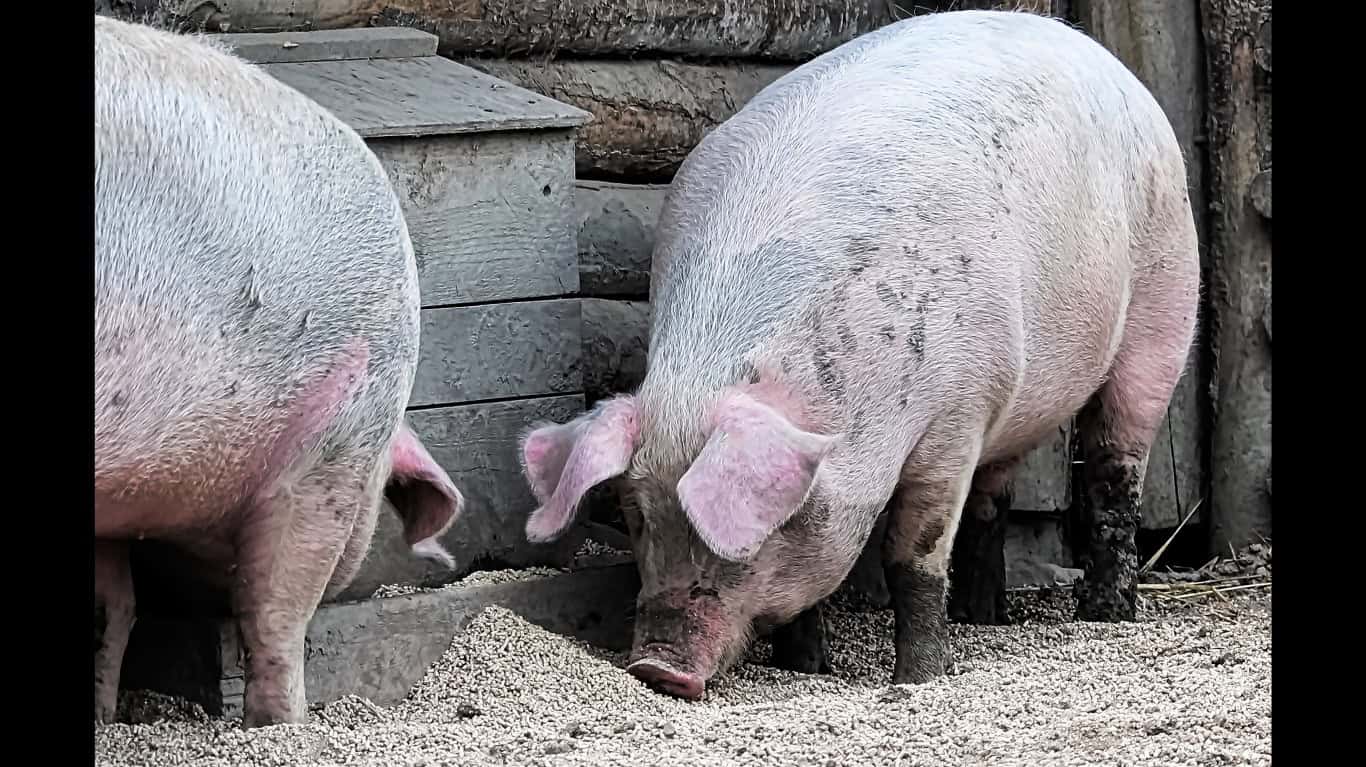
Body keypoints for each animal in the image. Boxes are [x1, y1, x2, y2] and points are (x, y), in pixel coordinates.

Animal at [518, 10, 1200, 699]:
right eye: (635, 514)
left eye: (759, 530)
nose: (657, 670)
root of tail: (1095, 52)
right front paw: (805, 669)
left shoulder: (957, 415)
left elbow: (912, 557)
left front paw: (921, 678)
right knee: (994, 500)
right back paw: (983, 619)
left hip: (1166, 291)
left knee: (1116, 466)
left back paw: (1107, 617)